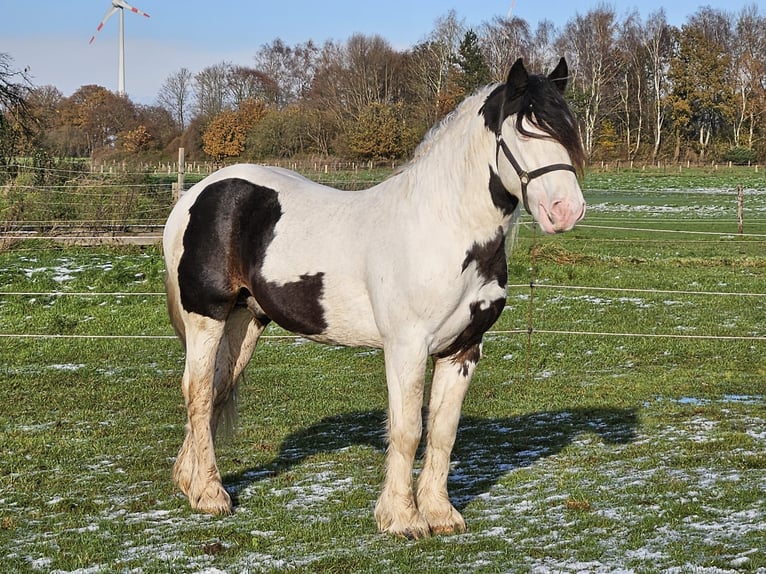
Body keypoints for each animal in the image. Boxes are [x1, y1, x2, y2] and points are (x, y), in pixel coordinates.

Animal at [164, 57, 588, 540]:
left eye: (567, 129)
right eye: (522, 131)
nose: (565, 211)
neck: (442, 227)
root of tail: (197, 194)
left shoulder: (464, 349)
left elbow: (443, 432)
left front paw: (441, 514)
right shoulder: (406, 346)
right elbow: (407, 430)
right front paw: (402, 519)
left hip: (245, 319)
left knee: (216, 389)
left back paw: (189, 480)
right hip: (207, 317)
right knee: (197, 392)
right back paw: (210, 495)